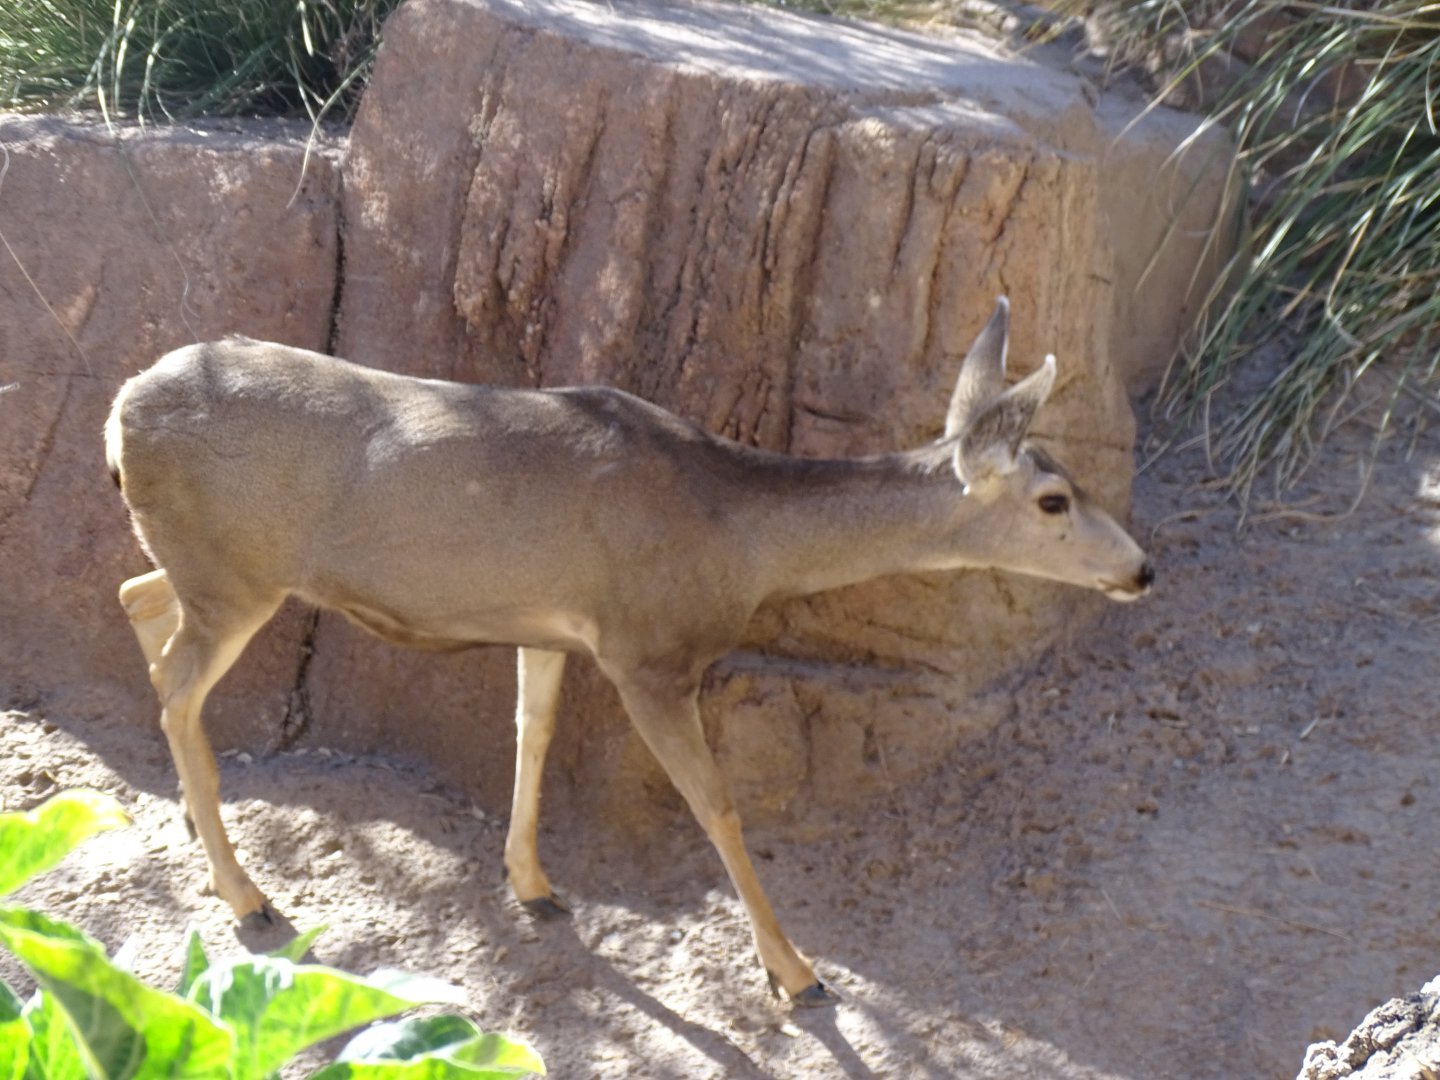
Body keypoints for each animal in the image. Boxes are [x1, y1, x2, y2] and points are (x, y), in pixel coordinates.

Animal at [105, 297, 1152, 1007]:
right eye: (1054, 498)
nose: (1141, 568)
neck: (734, 533)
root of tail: (119, 414)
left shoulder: (553, 626)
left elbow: (532, 732)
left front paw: (534, 887)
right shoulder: (651, 652)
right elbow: (717, 805)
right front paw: (797, 974)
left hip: (211, 572)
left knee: (137, 603)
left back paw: (202, 832)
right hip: (238, 575)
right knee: (175, 686)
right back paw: (248, 897)